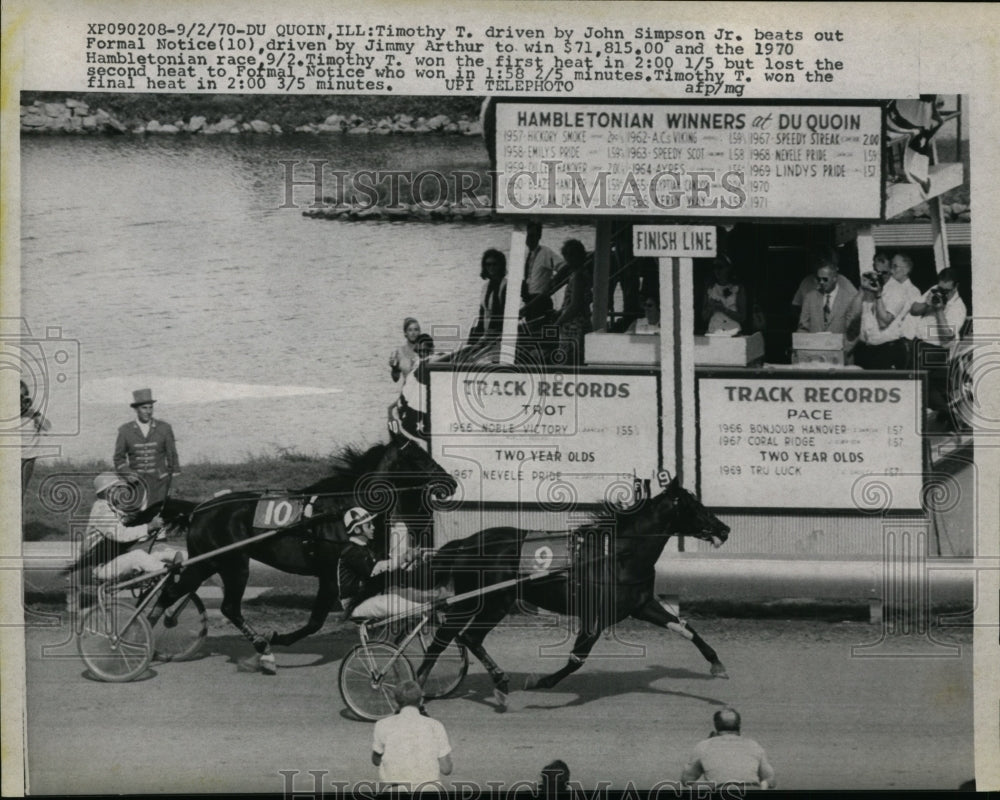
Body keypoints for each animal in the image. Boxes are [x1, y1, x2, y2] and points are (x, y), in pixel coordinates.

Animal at [152, 432, 458, 676]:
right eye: (417, 457)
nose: (451, 482)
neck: (346, 509)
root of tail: (198, 509)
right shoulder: (330, 574)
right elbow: (315, 622)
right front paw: (277, 639)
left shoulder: (370, 567)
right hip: (231, 563)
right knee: (226, 606)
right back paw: (262, 649)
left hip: (208, 563)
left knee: (174, 593)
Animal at [410, 476, 732, 708]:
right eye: (693, 506)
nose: (725, 529)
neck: (617, 555)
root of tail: (465, 543)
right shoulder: (595, 615)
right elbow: (578, 658)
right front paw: (539, 682)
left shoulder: (641, 605)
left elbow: (684, 628)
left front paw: (717, 665)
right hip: (488, 601)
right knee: (459, 637)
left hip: (485, 602)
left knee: (456, 638)